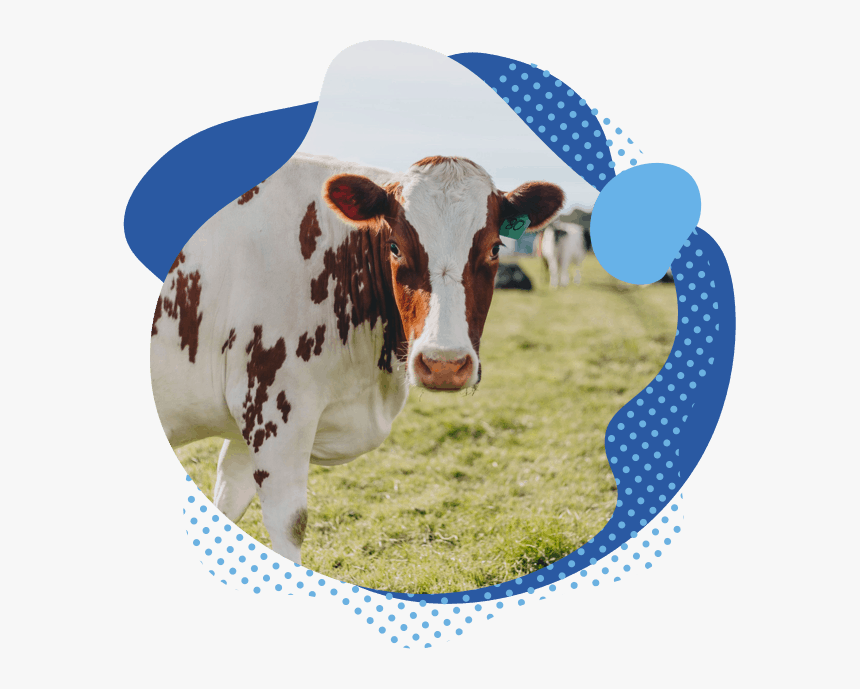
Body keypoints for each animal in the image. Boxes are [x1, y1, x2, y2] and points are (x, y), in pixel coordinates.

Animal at [151, 153, 564, 563]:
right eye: (395, 247)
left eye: (494, 248)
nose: (443, 363)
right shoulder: (275, 408)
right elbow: (288, 521)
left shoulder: (245, 423)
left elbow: (228, 502)